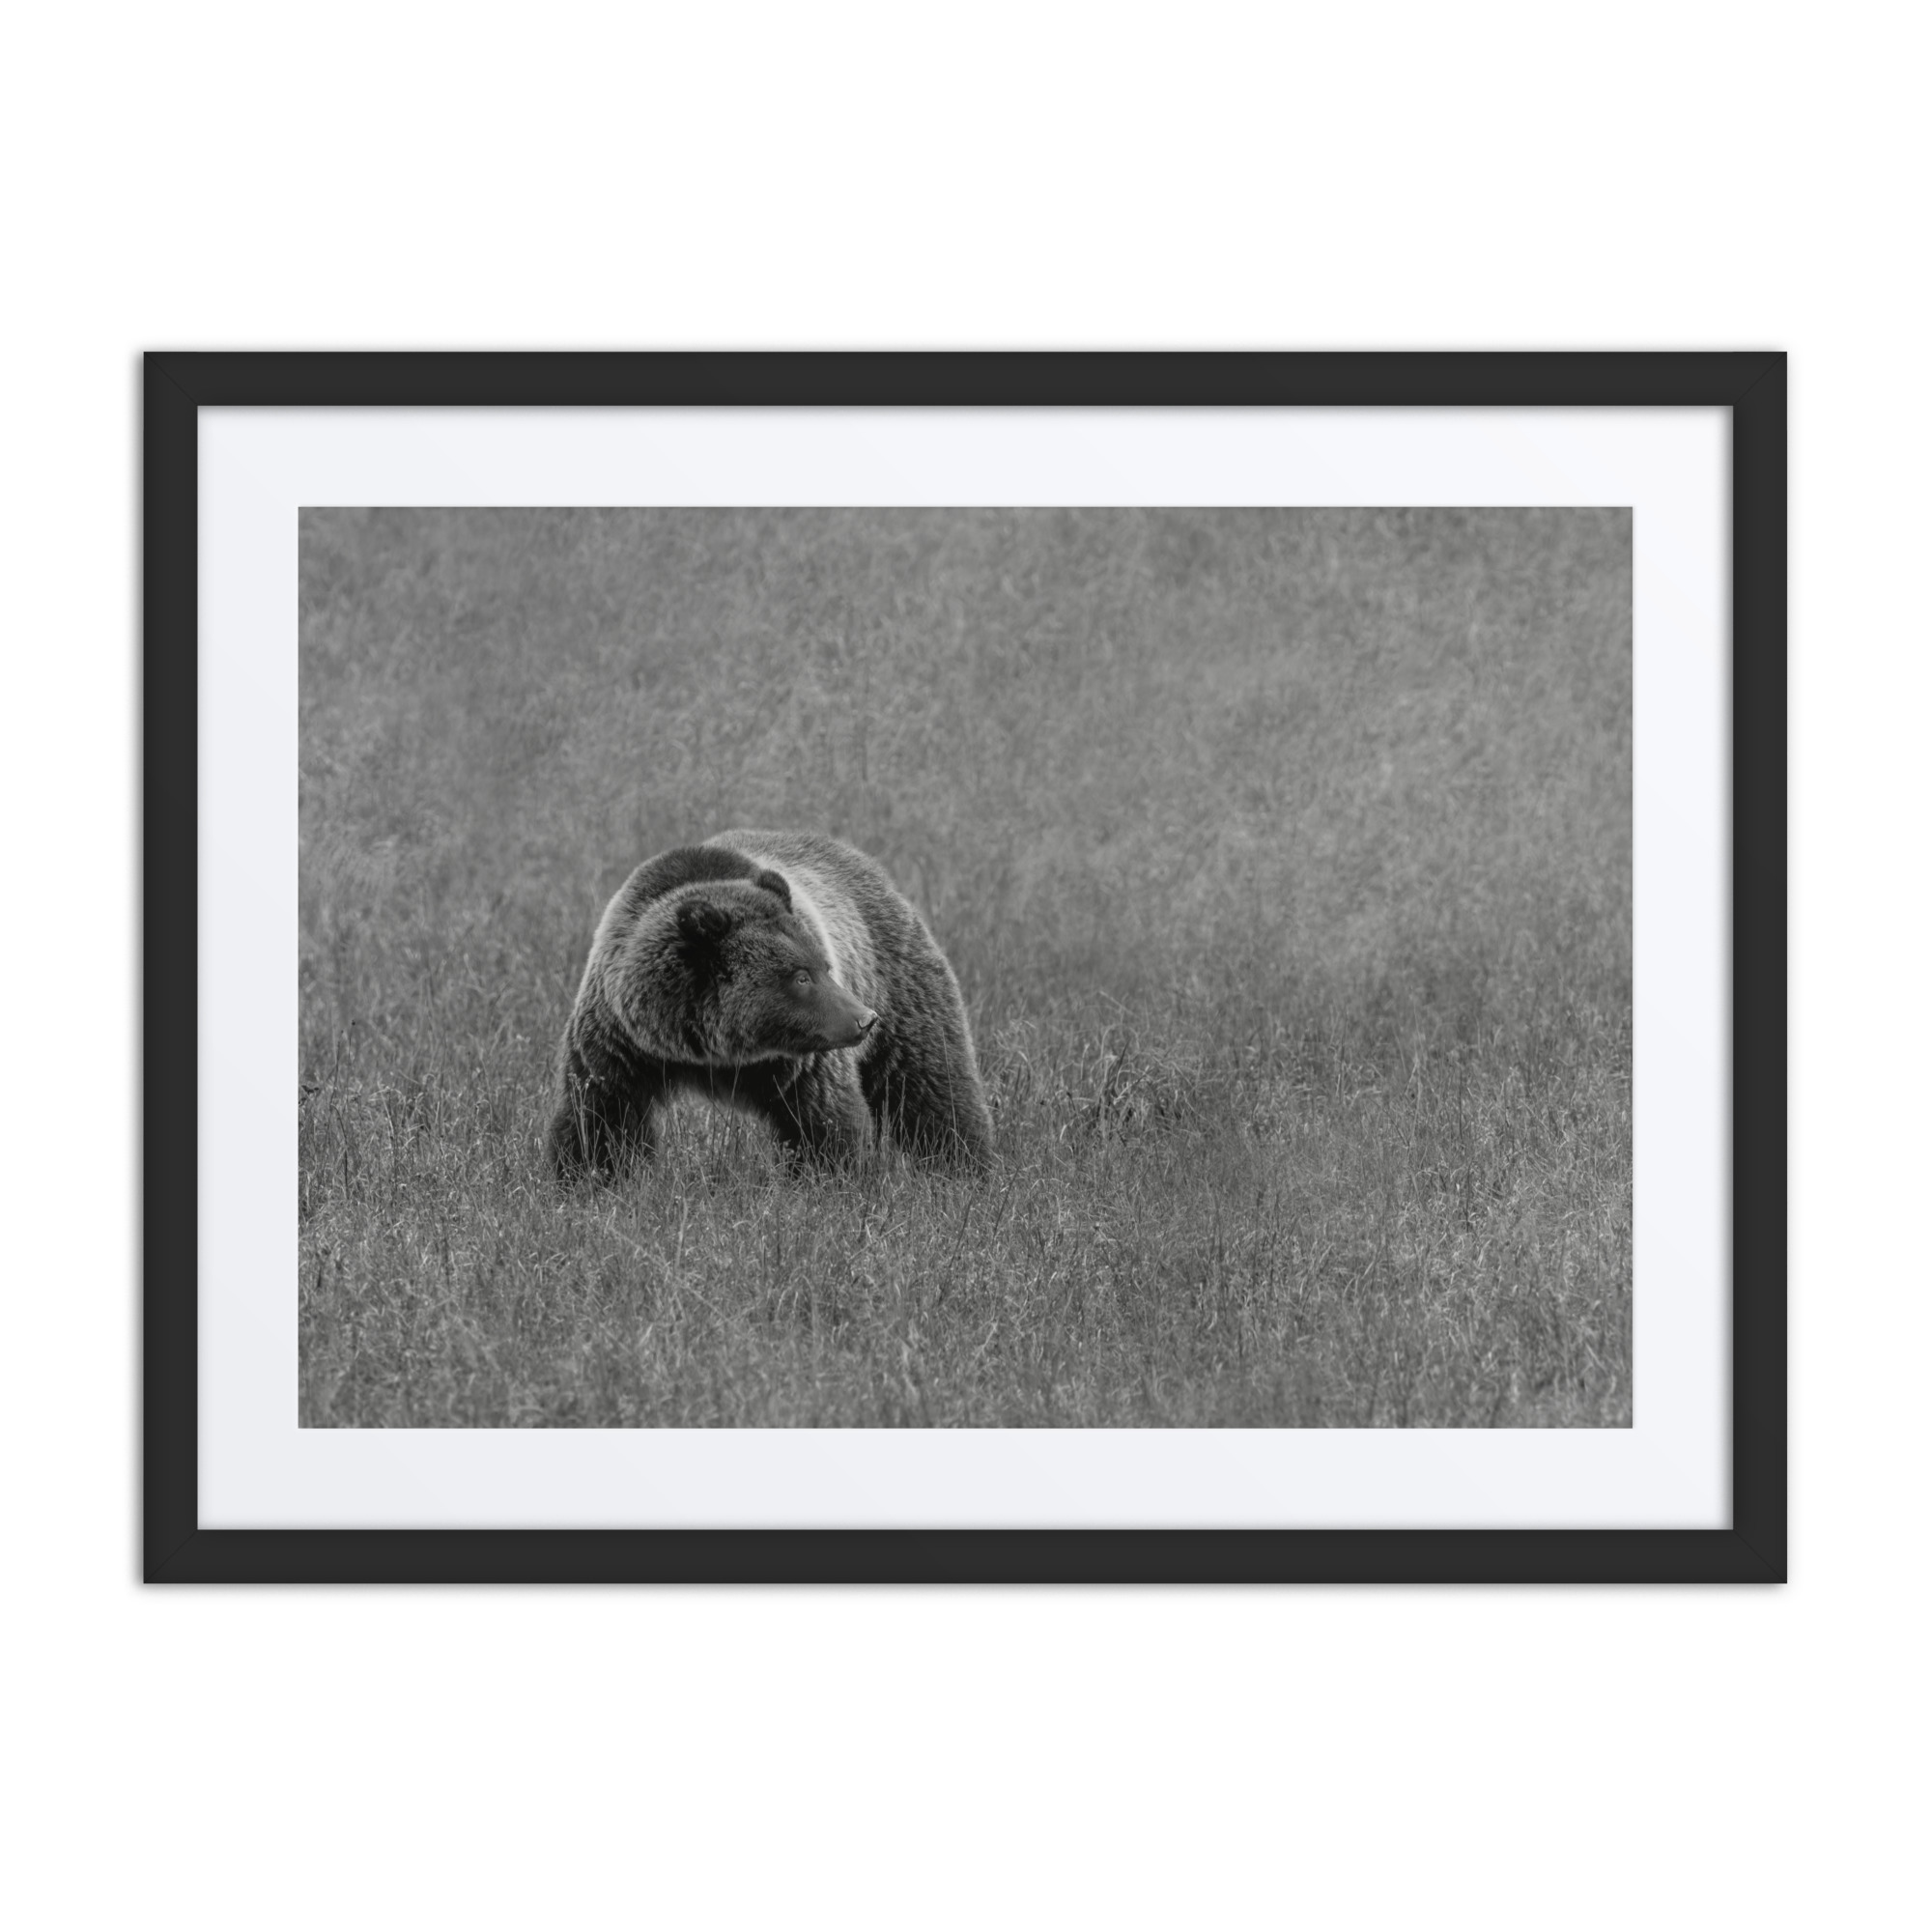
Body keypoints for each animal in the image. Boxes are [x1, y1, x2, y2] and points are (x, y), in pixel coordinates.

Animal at [546, 829, 994, 1181]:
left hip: (899, 984)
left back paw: (966, 1169)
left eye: (824, 966)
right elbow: (601, 1118)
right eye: (801, 976)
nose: (864, 1020)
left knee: (931, 1084)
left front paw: (834, 1180)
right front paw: (587, 1179)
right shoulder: (621, 1043)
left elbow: (824, 1121)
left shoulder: (803, 1062)